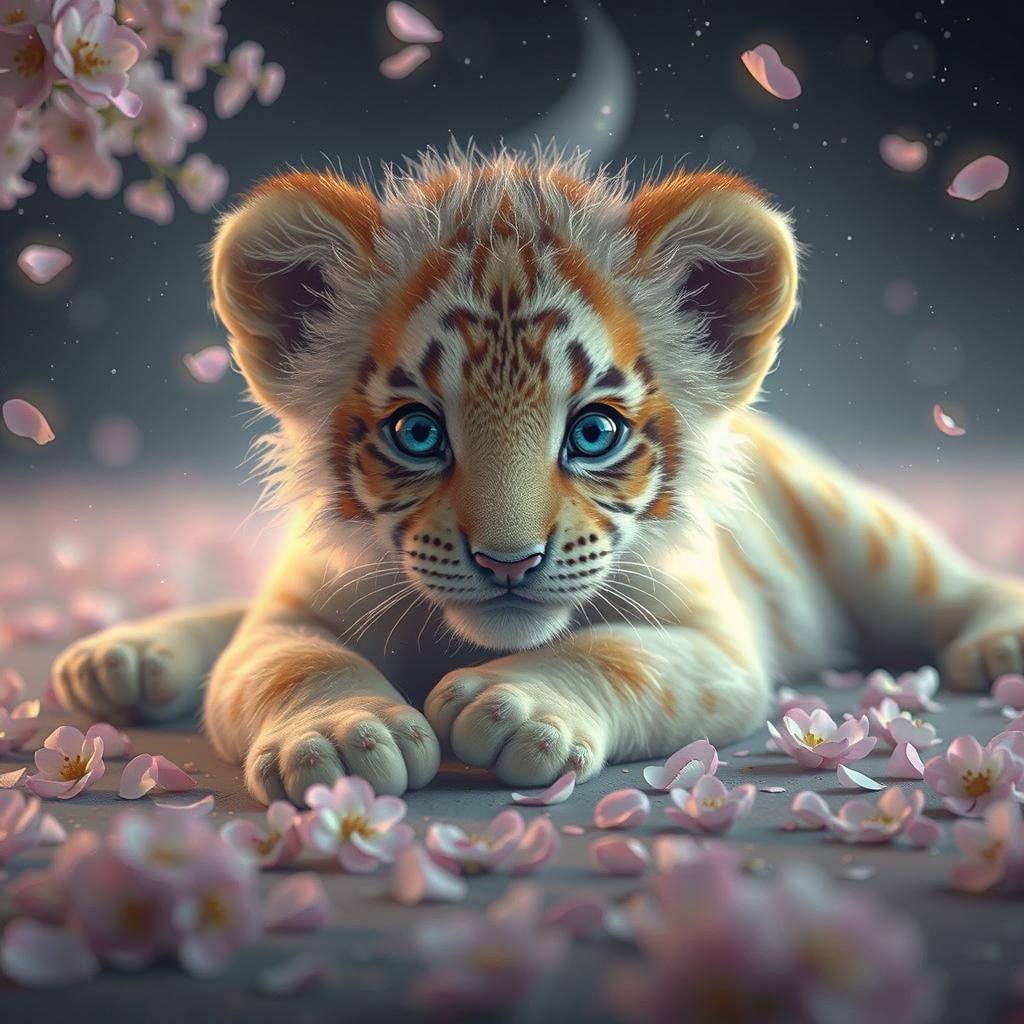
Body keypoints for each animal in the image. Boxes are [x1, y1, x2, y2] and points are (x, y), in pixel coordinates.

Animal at [52, 145, 1024, 806]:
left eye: (593, 433)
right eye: (417, 433)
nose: (509, 563)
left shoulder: (718, 643)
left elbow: (618, 653)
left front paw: (513, 705)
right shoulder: (291, 607)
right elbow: (288, 663)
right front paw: (343, 736)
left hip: (865, 531)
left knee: (940, 578)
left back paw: (1000, 641)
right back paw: (119, 661)